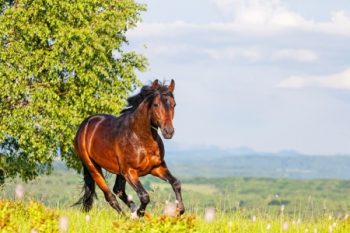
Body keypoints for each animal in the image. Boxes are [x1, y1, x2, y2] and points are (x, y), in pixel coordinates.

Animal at [73, 80, 185, 217]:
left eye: (174, 104)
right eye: (155, 104)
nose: (168, 132)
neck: (141, 138)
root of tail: (85, 124)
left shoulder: (157, 167)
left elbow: (176, 183)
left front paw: (179, 211)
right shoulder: (130, 172)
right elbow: (144, 196)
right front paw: (140, 214)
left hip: (119, 172)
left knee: (118, 190)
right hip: (92, 167)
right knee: (110, 196)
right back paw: (128, 216)